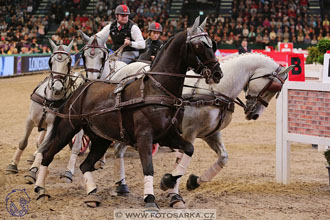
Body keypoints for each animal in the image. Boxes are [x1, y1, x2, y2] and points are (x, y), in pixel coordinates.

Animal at [5, 39, 74, 177]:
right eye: (51, 62)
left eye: (68, 62)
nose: (57, 88)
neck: (49, 100)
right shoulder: (30, 119)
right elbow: (23, 142)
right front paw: (13, 165)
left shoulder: (53, 126)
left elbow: (43, 147)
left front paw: (33, 171)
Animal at [32, 16, 222, 210]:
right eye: (199, 45)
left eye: (212, 44)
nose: (217, 73)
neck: (157, 89)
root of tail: (80, 90)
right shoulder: (145, 137)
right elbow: (148, 167)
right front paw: (150, 199)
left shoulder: (167, 135)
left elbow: (189, 149)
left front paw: (168, 180)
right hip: (67, 129)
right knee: (48, 155)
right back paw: (41, 189)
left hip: (100, 139)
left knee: (85, 165)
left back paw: (92, 193)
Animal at [111, 52, 294, 207]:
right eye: (274, 87)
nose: (254, 114)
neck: (215, 92)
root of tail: (120, 71)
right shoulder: (188, 133)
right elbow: (182, 161)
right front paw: (173, 192)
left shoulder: (211, 134)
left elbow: (223, 158)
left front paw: (194, 181)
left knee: (118, 150)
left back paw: (121, 186)